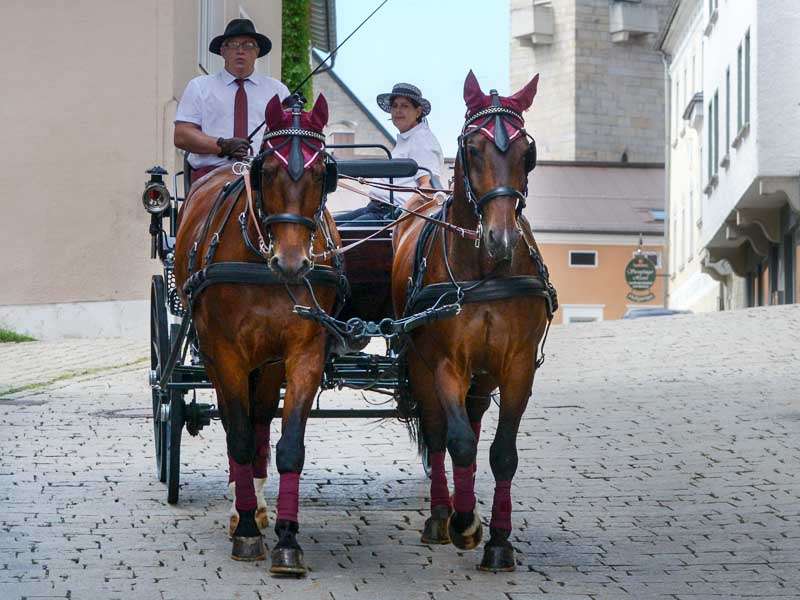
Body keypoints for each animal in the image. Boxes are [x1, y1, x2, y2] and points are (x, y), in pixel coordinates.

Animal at [173, 95, 340, 576]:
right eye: (267, 172)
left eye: (323, 173)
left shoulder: (303, 353)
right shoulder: (225, 353)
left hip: (267, 364)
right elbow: (240, 438)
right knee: (239, 425)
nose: (292, 263)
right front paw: (246, 530)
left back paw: (260, 505)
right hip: (220, 358)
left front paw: (286, 538)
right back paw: (240, 507)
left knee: (262, 417)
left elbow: (288, 445)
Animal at [392, 71, 556, 572]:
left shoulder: (517, 366)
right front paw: (463, 523)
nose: (500, 238)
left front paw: (499, 540)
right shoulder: (447, 364)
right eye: (474, 148)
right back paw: (440, 516)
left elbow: (502, 453)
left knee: (474, 418)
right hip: (423, 366)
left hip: (484, 376)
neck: (486, 271)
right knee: (439, 431)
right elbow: (458, 441)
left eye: (526, 152)